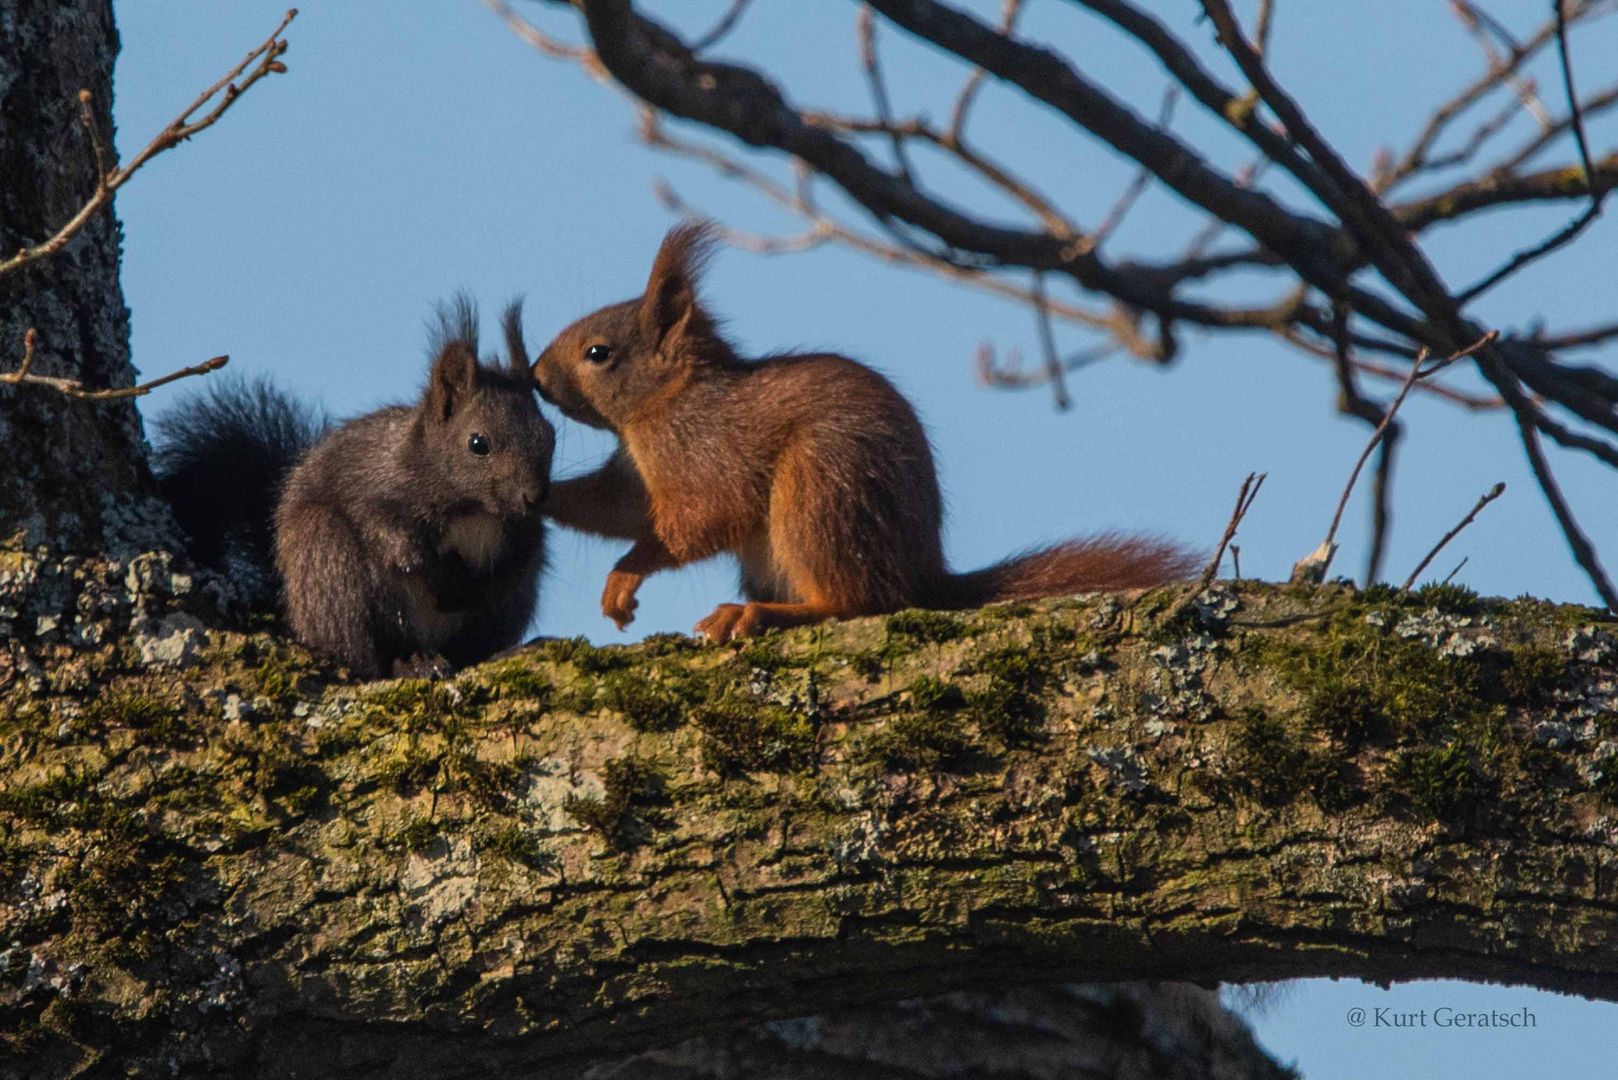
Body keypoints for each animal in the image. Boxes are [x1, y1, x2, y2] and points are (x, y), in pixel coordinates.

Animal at [154, 299, 553, 680]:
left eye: (549, 435)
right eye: (477, 443)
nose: (533, 497)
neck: (471, 508)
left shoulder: (521, 533)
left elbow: (516, 563)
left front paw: (468, 586)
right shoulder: (368, 483)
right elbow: (385, 532)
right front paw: (431, 569)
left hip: (510, 608)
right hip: (329, 562)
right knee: (365, 658)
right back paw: (411, 663)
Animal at [530, 221, 1190, 641]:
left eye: (598, 353)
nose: (534, 377)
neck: (668, 402)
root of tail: (921, 575)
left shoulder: (707, 452)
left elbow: (702, 519)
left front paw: (625, 573)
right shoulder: (634, 476)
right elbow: (614, 506)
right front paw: (537, 492)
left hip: (821, 490)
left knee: (857, 604)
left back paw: (762, 615)